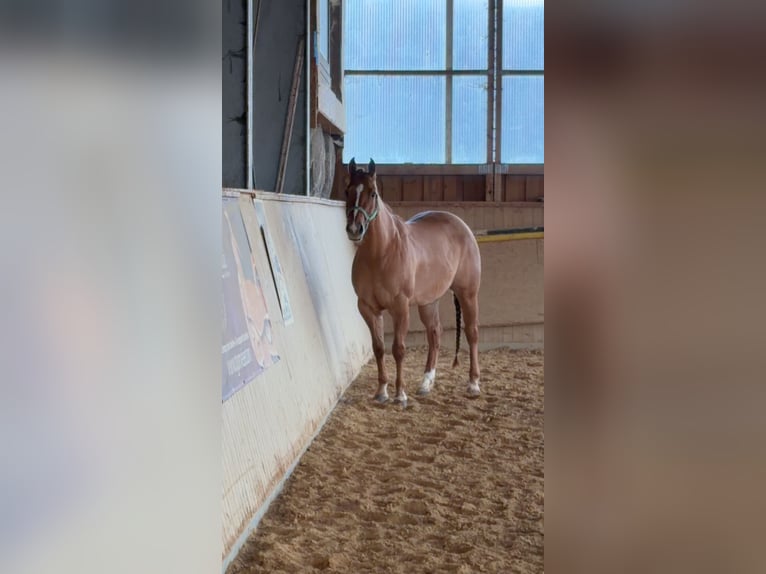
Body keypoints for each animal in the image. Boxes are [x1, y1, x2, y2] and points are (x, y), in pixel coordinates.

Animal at [344, 157, 482, 406]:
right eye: (347, 190)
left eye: (373, 193)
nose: (354, 229)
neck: (381, 253)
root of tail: (461, 225)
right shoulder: (368, 308)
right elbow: (379, 348)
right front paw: (381, 392)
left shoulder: (400, 307)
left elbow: (398, 349)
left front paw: (400, 394)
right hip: (429, 302)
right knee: (435, 333)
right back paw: (426, 383)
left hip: (468, 294)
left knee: (472, 332)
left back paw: (473, 383)